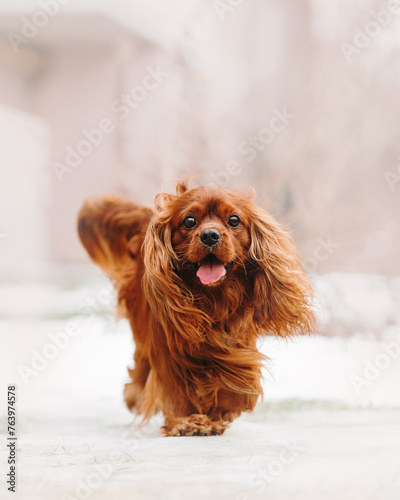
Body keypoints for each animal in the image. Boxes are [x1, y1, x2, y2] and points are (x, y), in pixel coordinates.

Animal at [78, 182, 316, 436]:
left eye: (234, 220)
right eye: (189, 221)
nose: (210, 235)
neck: (213, 300)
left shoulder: (238, 344)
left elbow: (237, 382)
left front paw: (222, 412)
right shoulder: (167, 347)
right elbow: (175, 390)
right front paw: (186, 421)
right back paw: (136, 396)